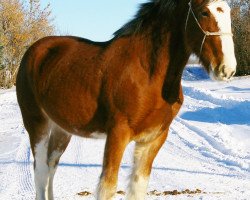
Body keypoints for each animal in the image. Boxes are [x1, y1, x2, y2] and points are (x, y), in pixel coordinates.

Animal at [16, 0, 236, 200]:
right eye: (204, 12)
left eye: (227, 10)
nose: (227, 69)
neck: (147, 73)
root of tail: (33, 52)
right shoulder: (118, 134)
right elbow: (107, 187)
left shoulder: (154, 138)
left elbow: (138, 186)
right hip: (37, 123)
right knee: (41, 172)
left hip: (62, 129)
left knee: (51, 167)